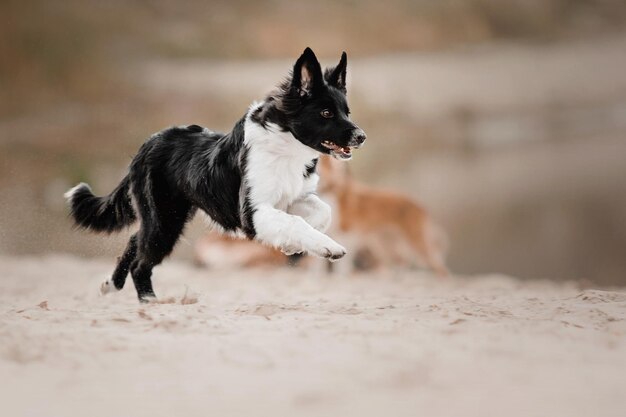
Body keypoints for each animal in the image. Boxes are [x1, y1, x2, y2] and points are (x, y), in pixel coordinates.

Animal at [64, 48, 366, 302]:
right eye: (326, 112)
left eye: (347, 111)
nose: (361, 136)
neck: (286, 144)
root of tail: (148, 144)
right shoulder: (252, 212)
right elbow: (295, 222)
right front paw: (328, 247)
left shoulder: (293, 197)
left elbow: (321, 212)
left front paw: (295, 248)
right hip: (165, 220)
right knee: (141, 262)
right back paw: (150, 302)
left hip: (165, 217)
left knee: (135, 241)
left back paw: (111, 285)